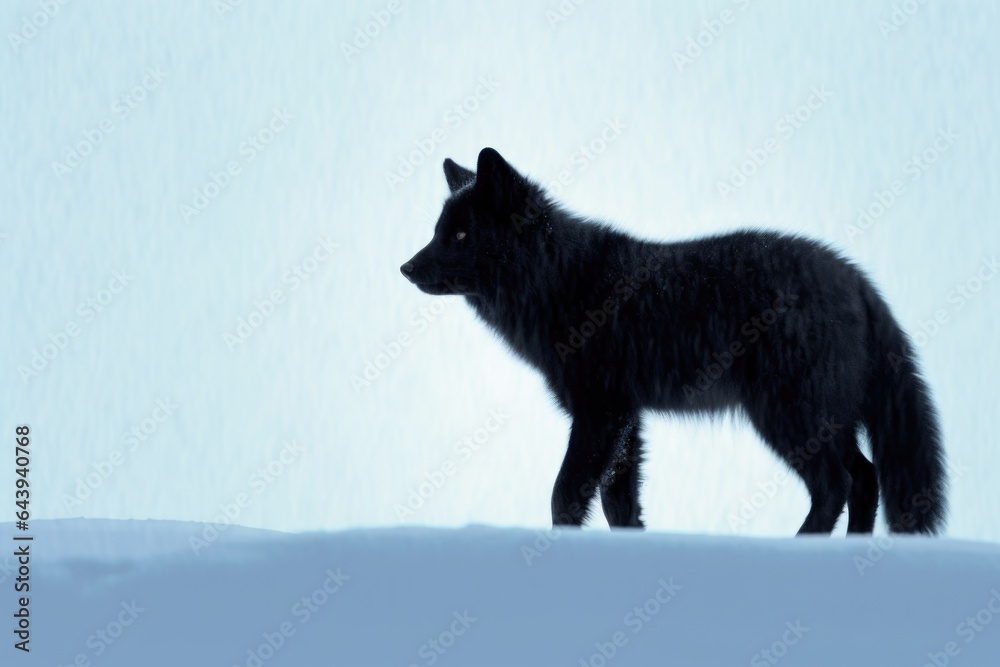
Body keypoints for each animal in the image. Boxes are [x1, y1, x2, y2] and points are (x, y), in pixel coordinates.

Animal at [401, 147, 946, 535]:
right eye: (438, 231)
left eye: (462, 235)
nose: (405, 268)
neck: (563, 282)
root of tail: (856, 278)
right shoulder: (626, 422)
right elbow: (618, 506)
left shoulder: (600, 413)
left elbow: (564, 497)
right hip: (826, 421)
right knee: (866, 479)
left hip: (787, 417)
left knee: (837, 484)